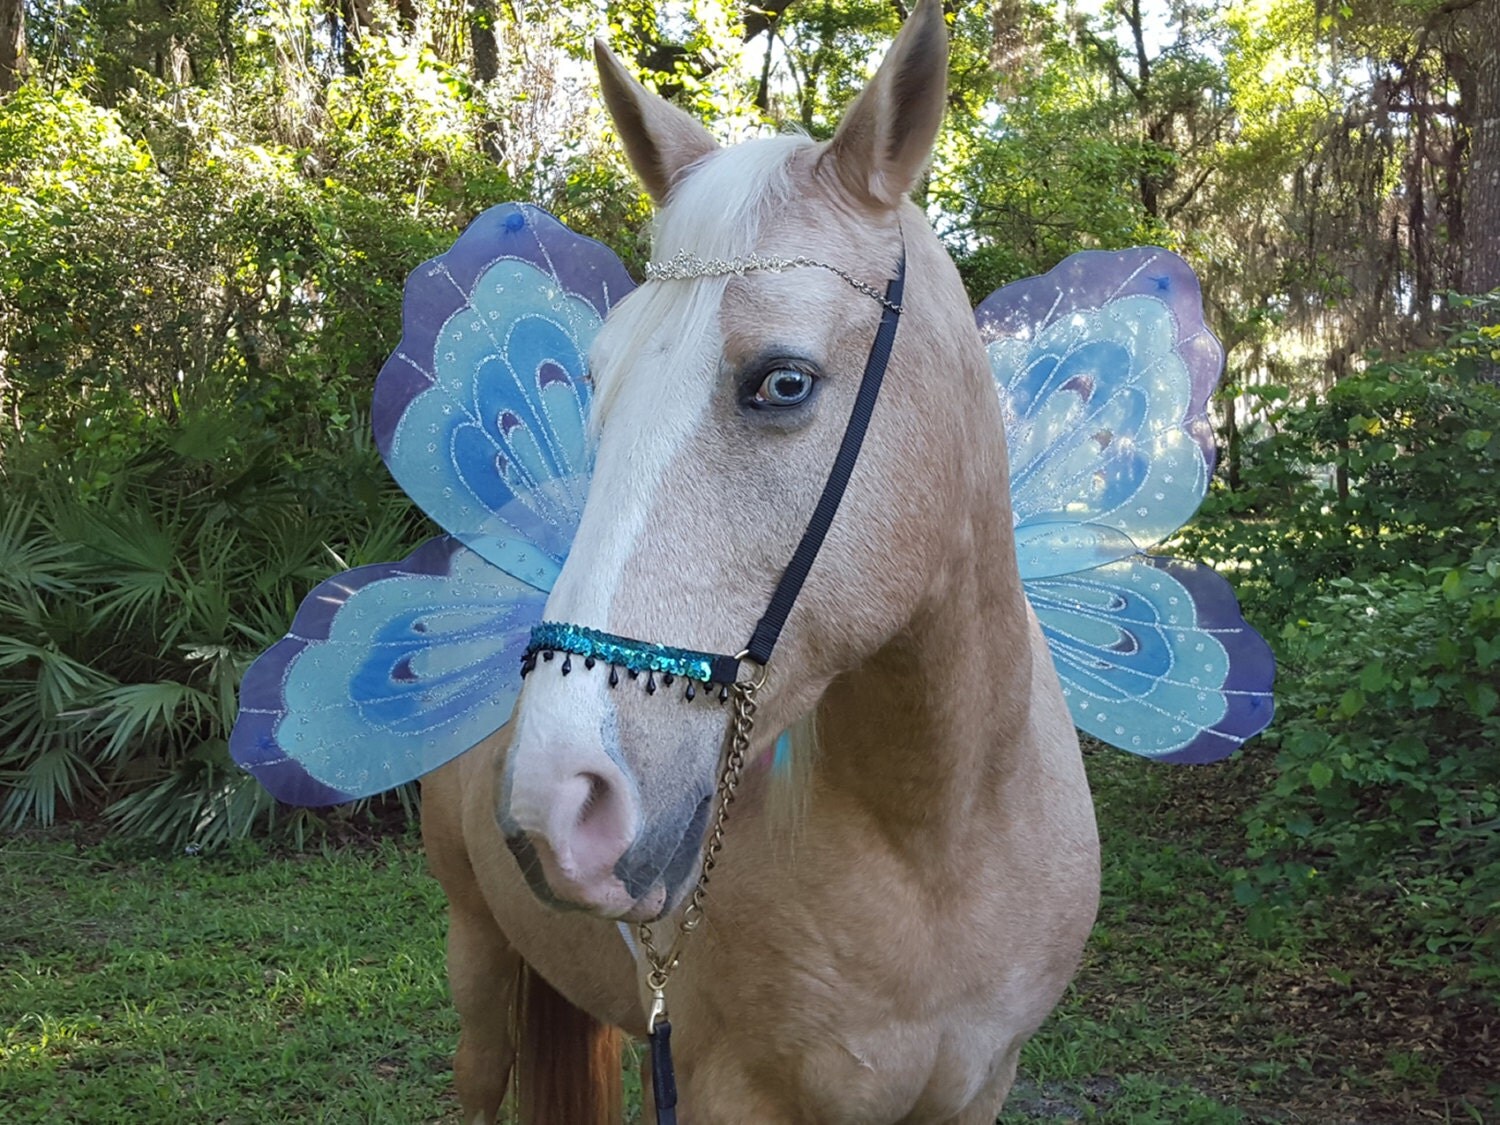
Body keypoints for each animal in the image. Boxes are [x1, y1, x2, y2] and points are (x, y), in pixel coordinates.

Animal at [420, 2, 1101, 1120]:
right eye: (595, 380)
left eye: (783, 382)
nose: (559, 800)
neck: (939, 838)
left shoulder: (979, 1086)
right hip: (477, 960)